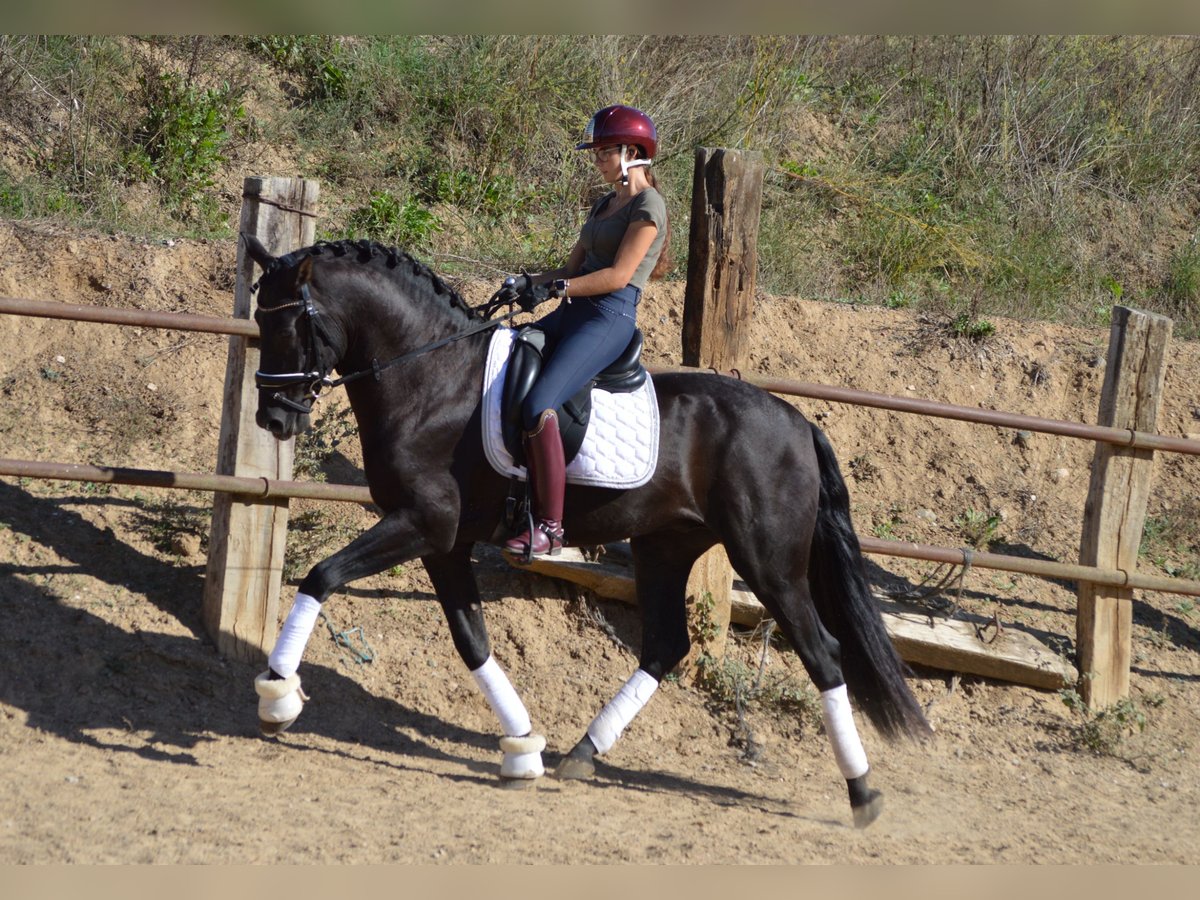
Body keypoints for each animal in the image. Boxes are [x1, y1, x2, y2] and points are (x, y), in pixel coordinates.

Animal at [238, 236, 921, 830]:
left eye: (289, 326)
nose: (273, 418)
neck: (431, 378)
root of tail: (798, 422)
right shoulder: (443, 542)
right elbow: (472, 642)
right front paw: (522, 747)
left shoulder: (421, 525)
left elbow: (322, 574)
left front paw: (278, 697)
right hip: (664, 547)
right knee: (666, 645)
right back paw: (582, 753)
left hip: (768, 561)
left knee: (822, 652)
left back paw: (862, 793)